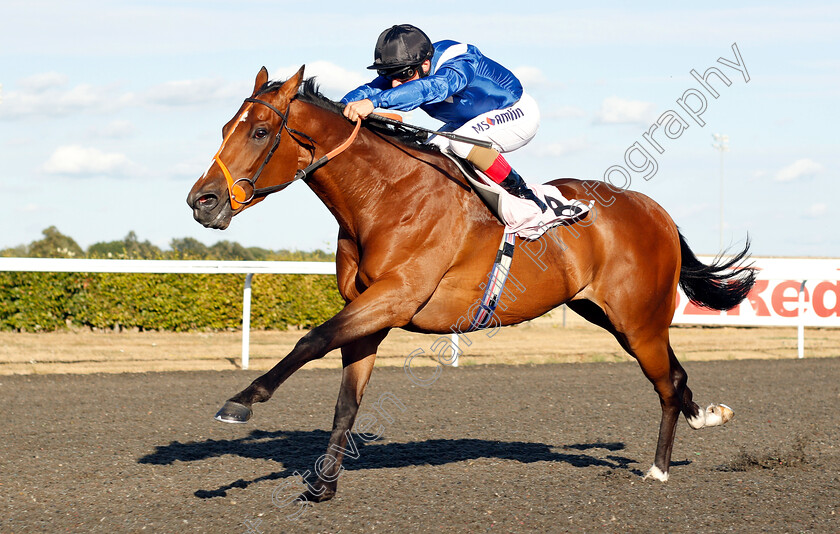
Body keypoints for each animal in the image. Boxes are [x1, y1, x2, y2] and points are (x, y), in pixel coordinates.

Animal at [185, 68, 756, 502]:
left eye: (260, 131)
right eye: (224, 126)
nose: (202, 201)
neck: (385, 195)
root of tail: (656, 211)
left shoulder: (395, 297)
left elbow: (311, 339)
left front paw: (241, 400)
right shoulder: (370, 311)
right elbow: (347, 400)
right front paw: (322, 485)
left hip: (638, 318)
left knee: (665, 382)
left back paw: (658, 468)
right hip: (611, 316)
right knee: (676, 376)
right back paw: (708, 416)